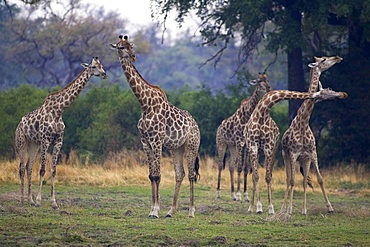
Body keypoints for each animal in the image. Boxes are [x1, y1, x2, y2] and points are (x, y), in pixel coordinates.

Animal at [16, 56, 108, 208]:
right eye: (93, 67)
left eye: (101, 65)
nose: (104, 74)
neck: (58, 111)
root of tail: (19, 124)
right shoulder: (46, 140)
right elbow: (42, 169)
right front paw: (39, 200)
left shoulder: (58, 141)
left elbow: (53, 170)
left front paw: (53, 202)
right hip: (21, 142)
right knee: (22, 167)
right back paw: (23, 200)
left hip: (33, 144)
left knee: (29, 167)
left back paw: (30, 200)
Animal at [110, 35, 201, 218]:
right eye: (121, 47)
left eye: (130, 46)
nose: (133, 57)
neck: (145, 104)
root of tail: (196, 125)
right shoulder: (145, 141)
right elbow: (151, 175)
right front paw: (153, 209)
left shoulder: (157, 140)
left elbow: (158, 175)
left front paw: (155, 211)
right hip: (176, 148)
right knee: (180, 174)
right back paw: (171, 211)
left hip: (191, 145)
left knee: (191, 175)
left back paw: (191, 211)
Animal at [214, 73, 272, 201]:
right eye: (259, 81)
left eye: (267, 79)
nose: (269, 88)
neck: (247, 115)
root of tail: (219, 127)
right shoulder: (240, 142)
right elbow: (239, 167)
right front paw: (239, 195)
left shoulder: (246, 143)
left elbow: (245, 168)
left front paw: (245, 195)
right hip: (221, 143)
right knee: (220, 165)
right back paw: (218, 193)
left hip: (232, 146)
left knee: (231, 166)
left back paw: (232, 194)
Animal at [280, 55, 344, 214]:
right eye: (324, 60)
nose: (338, 57)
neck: (303, 123)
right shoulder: (293, 154)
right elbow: (292, 181)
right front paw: (289, 209)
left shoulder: (312, 154)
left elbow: (319, 179)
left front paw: (330, 208)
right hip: (286, 156)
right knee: (288, 179)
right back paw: (283, 208)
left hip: (305, 160)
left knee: (303, 181)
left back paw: (303, 209)